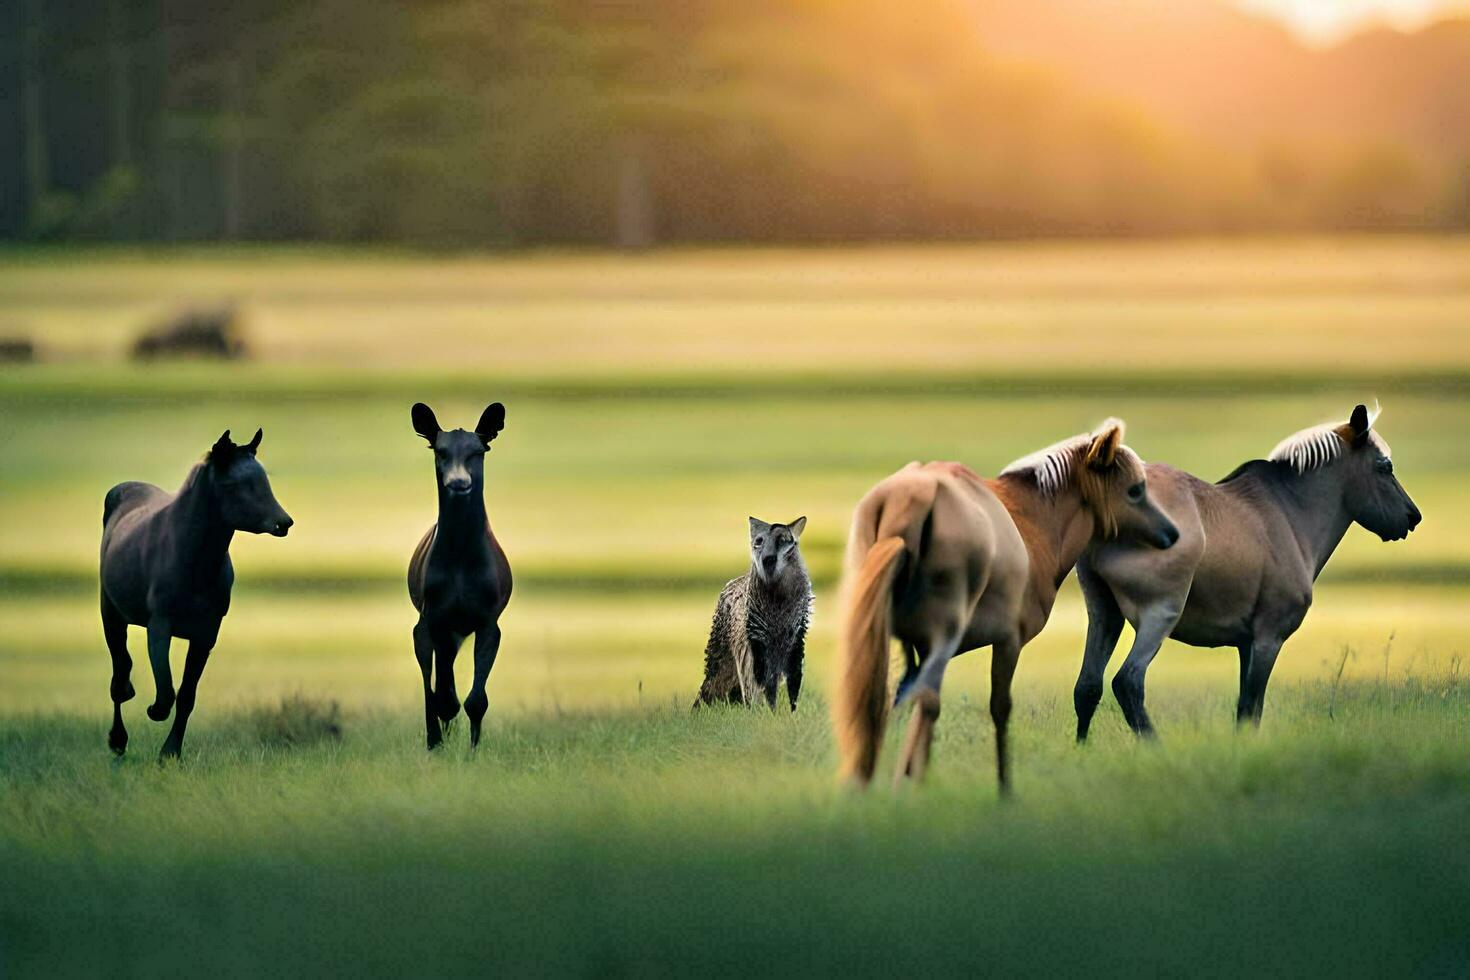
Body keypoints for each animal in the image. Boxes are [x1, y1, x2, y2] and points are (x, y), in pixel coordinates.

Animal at [98, 431, 292, 764]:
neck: (192, 560)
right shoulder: (159, 624)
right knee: (119, 672)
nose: (284, 522)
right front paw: (152, 711)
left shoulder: (207, 632)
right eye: (235, 485)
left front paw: (169, 753)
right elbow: (165, 691)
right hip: (110, 613)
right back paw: (118, 739)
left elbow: (186, 695)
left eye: (265, 480)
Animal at [408, 399, 511, 752]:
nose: (458, 482)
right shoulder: (432, 617)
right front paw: (438, 740)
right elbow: (438, 692)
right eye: (440, 451)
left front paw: (473, 749)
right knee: (433, 679)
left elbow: (477, 699)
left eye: (477, 451)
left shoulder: (488, 619)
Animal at [690, 514, 811, 714]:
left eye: (782, 539)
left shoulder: (793, 642)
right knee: (712, 685)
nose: (767, 560)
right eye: (759, 541)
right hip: (721, 656)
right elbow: (754, 686)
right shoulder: (751, 649)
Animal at [834, 417, 1176, 793]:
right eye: (1135, 490)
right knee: (927, 696)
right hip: (946, 634)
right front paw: (1004, 788)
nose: (1172, 533)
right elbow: (999, 708)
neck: (1037, 520)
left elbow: (899, 698)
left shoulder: (913, 646)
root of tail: (910, 501)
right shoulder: (1009, 640)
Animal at [1070, 402, 1422, 740]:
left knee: (1088, 687)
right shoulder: (1268, 636)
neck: (1292, 513)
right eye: (1385, 466)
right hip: (1161, 612)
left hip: (1104, 612)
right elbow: (1252, 707)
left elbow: (1244, 709)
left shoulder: (1244, 642)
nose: (1413, 516)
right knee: (1128, 681)